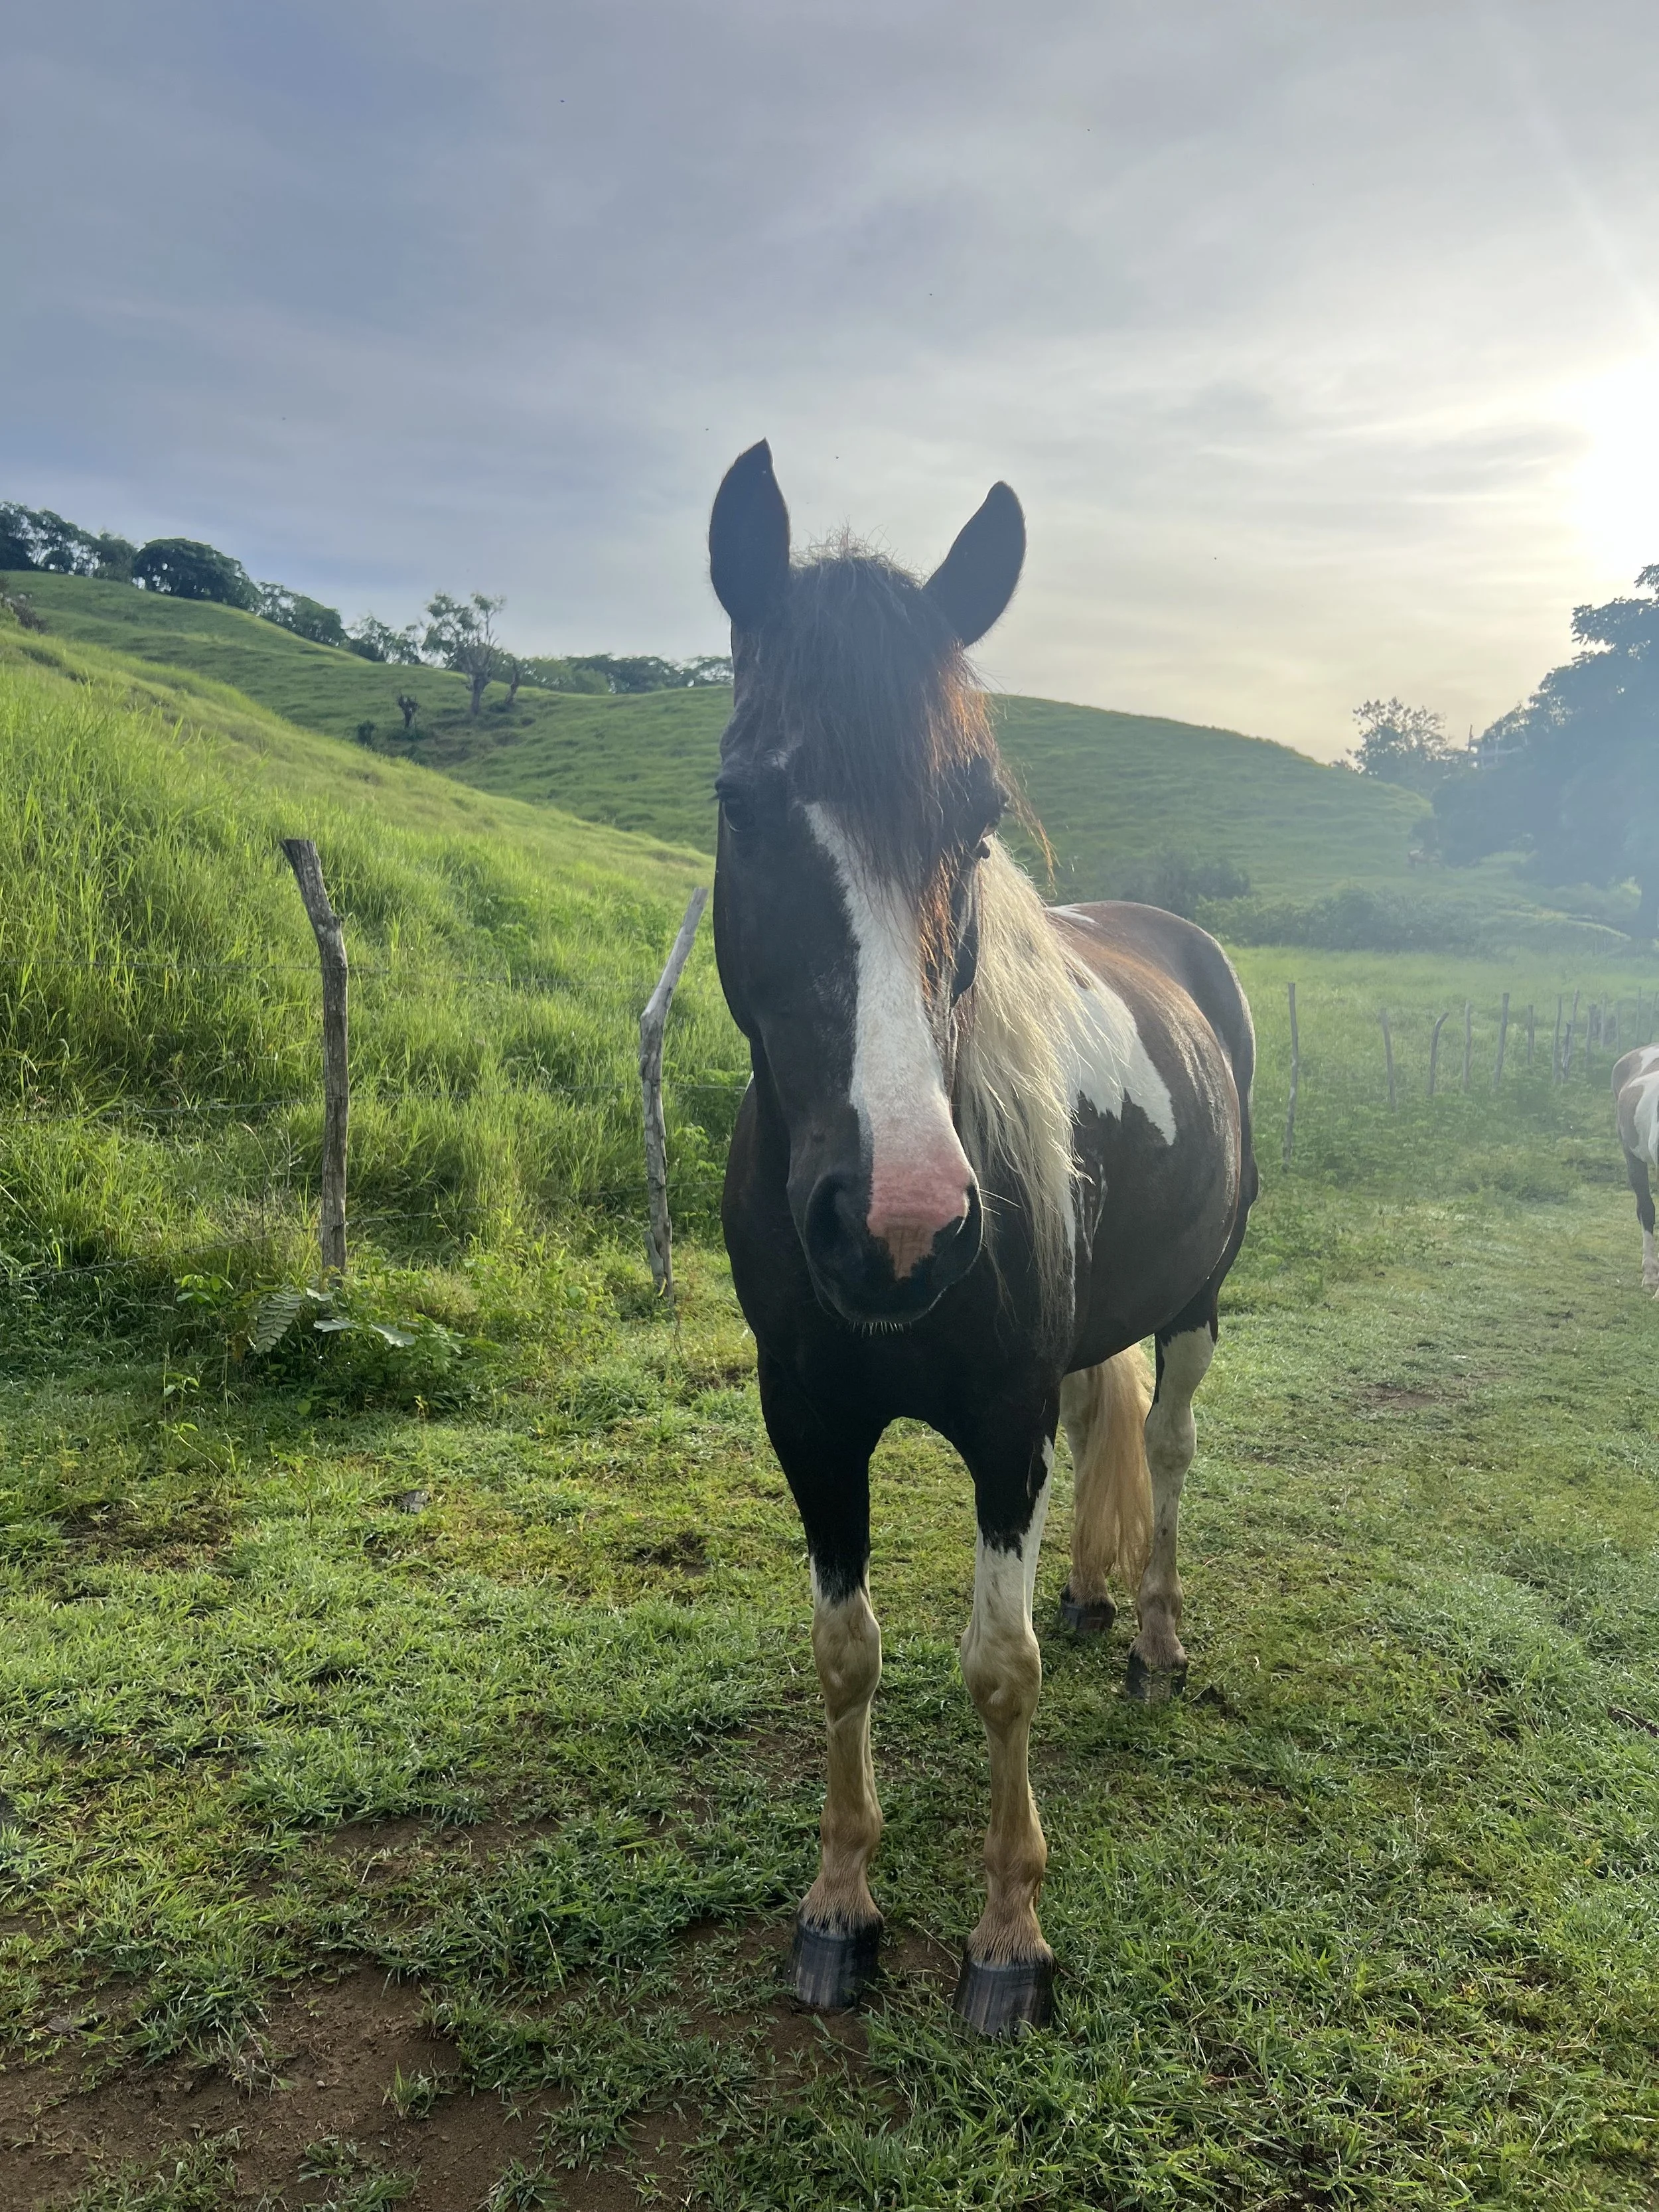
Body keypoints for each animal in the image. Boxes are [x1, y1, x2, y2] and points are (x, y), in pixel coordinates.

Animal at [707, 441, 1259, 2035]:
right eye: (741, 801)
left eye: (975, 816)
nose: (899, 1220)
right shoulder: (808, 1418)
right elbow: (846, 1651)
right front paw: (839, 1904)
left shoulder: (999, 1422)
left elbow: (996, 1668)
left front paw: (1011, 1933)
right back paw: (1091, 1595)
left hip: (1200, 1303)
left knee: (1171, 1452)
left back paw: (1150, 1638)